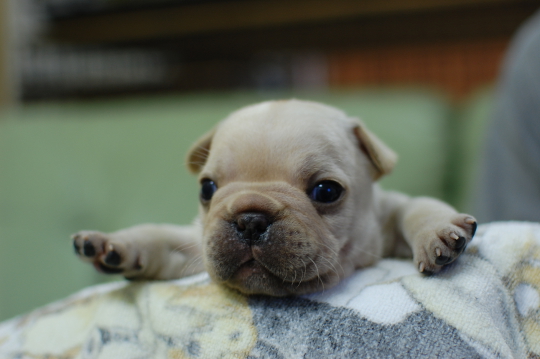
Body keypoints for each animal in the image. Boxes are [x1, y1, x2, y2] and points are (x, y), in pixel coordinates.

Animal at [71, 100, 476, 296]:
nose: (250, 219)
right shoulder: (195, 246)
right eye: (207, 188)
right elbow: (160, 236)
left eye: (327, 191)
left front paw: (437, 233)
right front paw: (117, 245)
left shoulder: (386, 215)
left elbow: (417, 208)